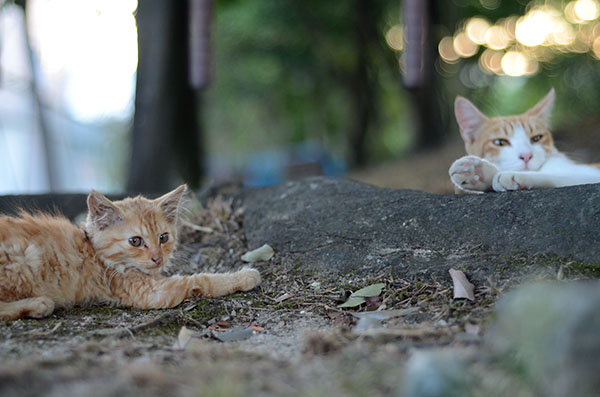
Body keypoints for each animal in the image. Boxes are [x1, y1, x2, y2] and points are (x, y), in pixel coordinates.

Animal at [0, 185, 260, 318]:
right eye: (135, 241)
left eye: (163, 238)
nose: (158, 258)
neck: (95, 253)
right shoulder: (150, 292)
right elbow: (202, 279)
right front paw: (244, 276)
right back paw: (38, 304)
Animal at [450, 88, 600, 192]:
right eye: (500, 142)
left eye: (536, 138)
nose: (526, 156)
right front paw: (477, 173)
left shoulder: (590, 174)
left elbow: (560, 176)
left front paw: (515, 175)